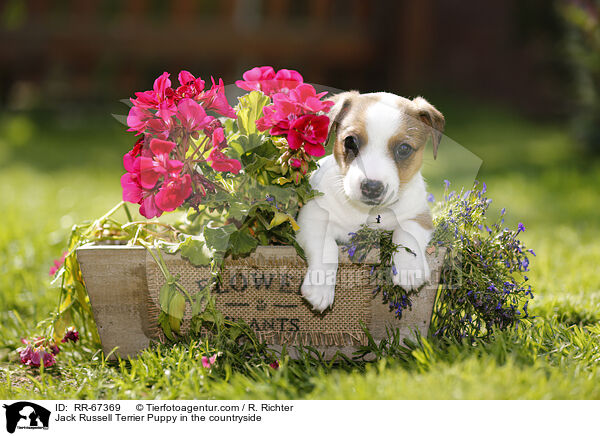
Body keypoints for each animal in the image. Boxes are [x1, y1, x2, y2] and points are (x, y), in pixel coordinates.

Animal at [296, 90, 446, 312]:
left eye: (404, 149)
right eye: (350, 141)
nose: (372, 187)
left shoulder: (420, 216)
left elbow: (406, 233)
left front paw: (409, 269)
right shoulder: (312, 217)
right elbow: (326, 246)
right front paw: (319, 286)